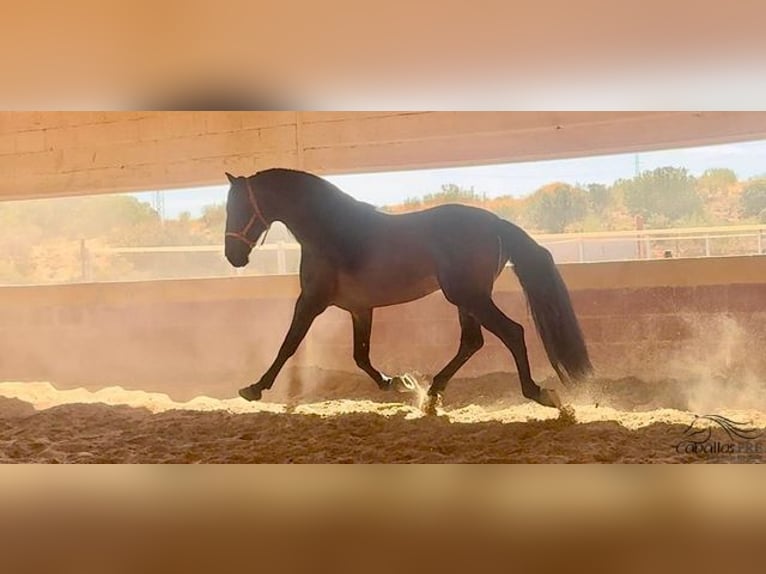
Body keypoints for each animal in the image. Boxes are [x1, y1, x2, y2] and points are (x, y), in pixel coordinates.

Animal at [222, 166, 592, 414]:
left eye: (239, 208)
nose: (233, 256)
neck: (333, 233)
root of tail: (496, 224)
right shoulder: (360, 308)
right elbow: (360, 356)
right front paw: (397, 383)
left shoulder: (312, 301)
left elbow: (288, 345)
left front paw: (254, 388)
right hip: (465, 299)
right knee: (472, 342)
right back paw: (432, 395)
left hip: (468, 295)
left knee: (511, 333)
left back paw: (541, 394)